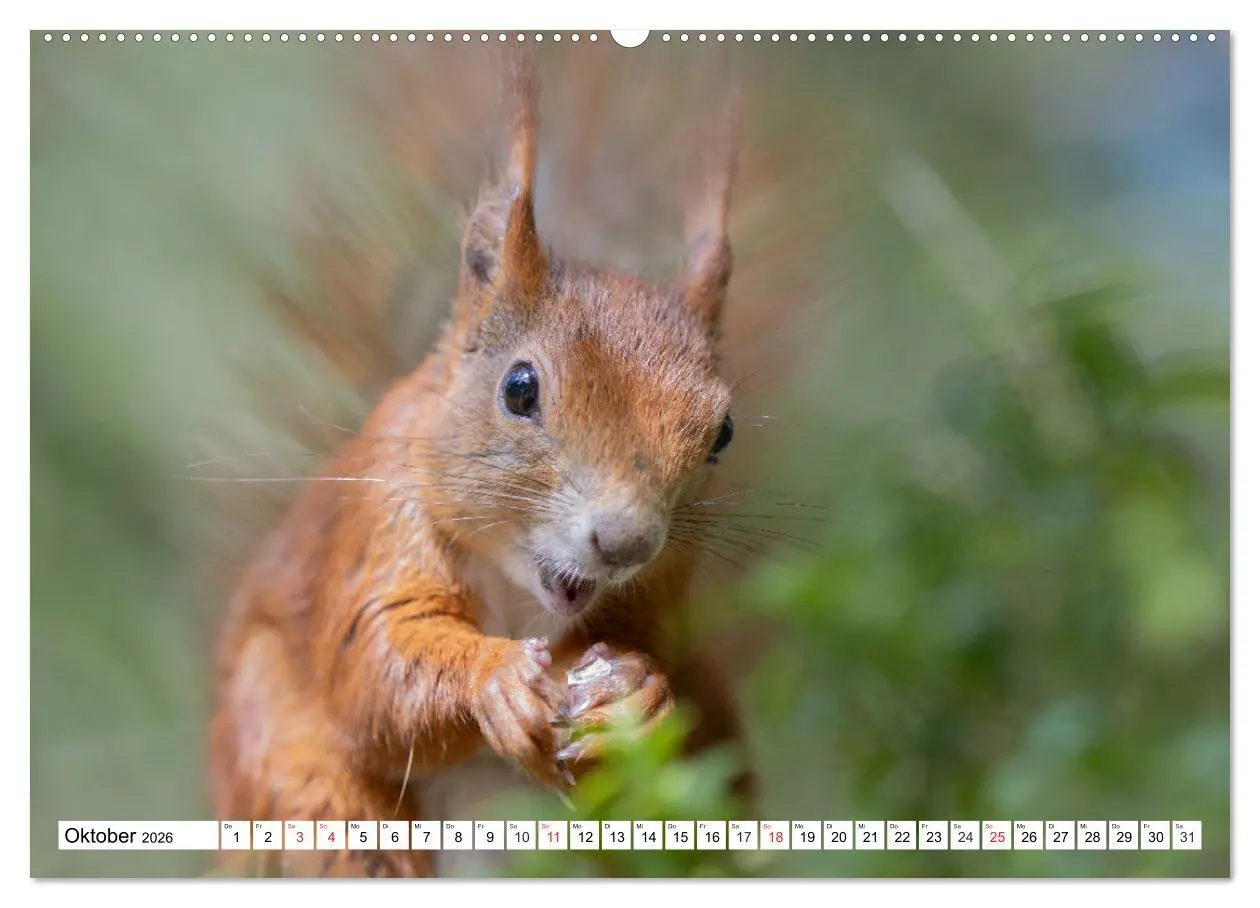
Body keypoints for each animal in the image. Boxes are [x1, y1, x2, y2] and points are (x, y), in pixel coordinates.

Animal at [207, 47, 762, 878]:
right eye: (520, 387)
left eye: (722, 432)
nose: (625, 543)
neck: (516, 587)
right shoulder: (379, 528)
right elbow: (377, 664)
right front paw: (494, 680)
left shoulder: (662, 598)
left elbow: (660, 675)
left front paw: (639, 691)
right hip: (303, 784)